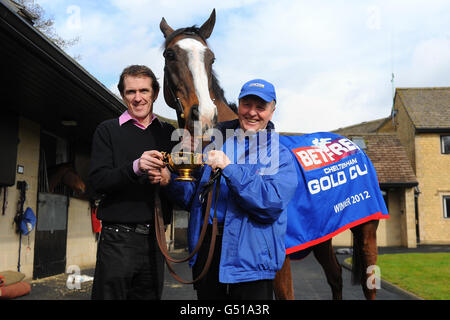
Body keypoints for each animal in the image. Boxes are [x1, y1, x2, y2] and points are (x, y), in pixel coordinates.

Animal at [160, 9, 382, 300]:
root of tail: (353, 145)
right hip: (322, 235)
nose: (204, 116)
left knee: (369, 285)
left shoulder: (280, 263)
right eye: (170, 55)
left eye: (211, 58)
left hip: (366, 230)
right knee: (335, 276)